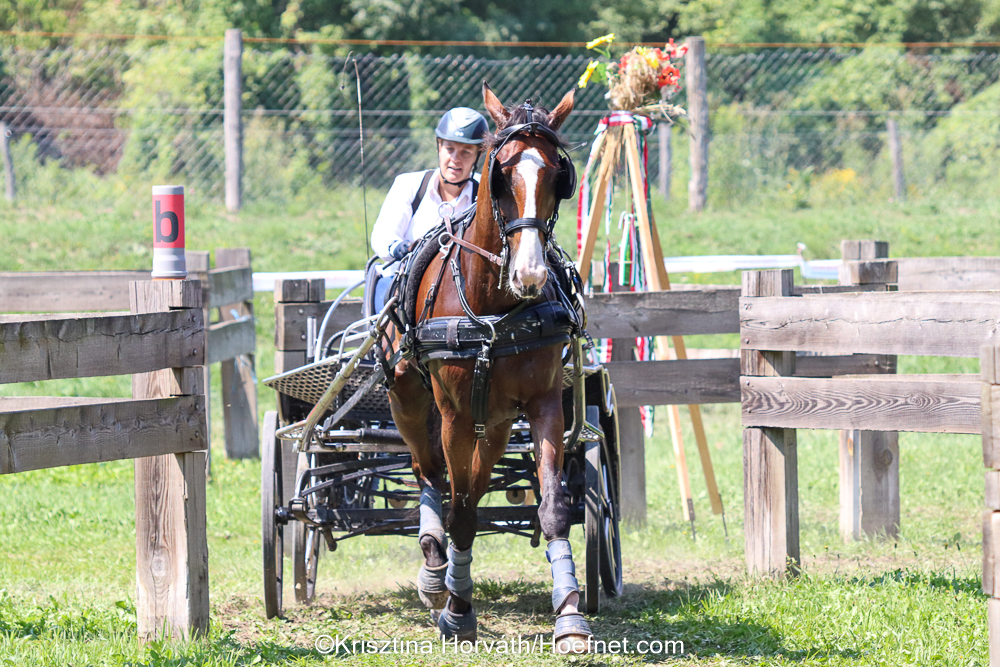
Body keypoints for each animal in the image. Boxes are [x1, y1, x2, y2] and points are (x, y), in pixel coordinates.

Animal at [386, 82, 593, 652]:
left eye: (558, 176)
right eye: (500, 173)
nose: (530, 273)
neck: (494, 311)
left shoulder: (543, 405)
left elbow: (553, 507)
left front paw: (570, 615)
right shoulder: (454, 416)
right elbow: (458, 513)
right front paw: (457, 611)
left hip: (497, 423)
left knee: (475, 484)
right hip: (410, 402)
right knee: (433, 477)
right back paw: (436, 572)